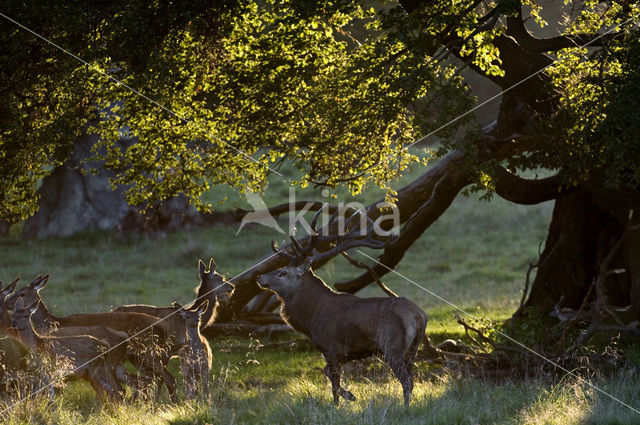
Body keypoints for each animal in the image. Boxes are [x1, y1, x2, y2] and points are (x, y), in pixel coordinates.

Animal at [254, 209, 424, 404]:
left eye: (283, 272)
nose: (259, 277)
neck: (310, 320)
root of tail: (419, 316)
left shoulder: (330, 347)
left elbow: (334, 383)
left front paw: (339, 402)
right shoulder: (341, 354)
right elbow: (327, 373)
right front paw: (350, 395)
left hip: (393, 346)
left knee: (406, 380)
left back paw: (405, 406)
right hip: (412, 350)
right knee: (411, 378)